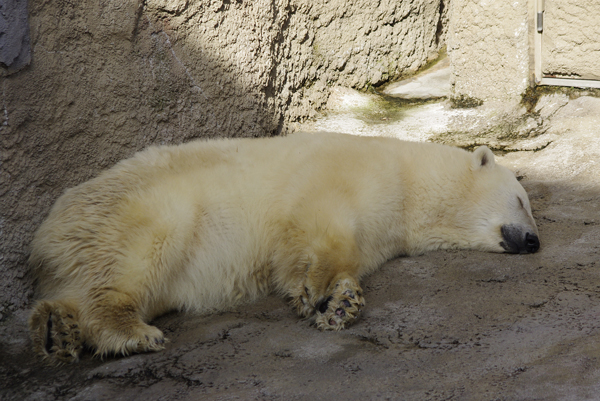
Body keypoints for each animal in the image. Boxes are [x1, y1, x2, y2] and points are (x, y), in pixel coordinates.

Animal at [28, 132, 540, 362]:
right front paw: (322, 293)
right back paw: (133, 333)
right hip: (141, 209)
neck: (410, 178)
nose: (534, 240)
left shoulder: (385, 228)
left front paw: (340, 303)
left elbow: (338, 255)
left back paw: (56, 330)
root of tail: (45, 235)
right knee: (138, 258)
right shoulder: (350, 175)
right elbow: (319, 229)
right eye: (522, 200)